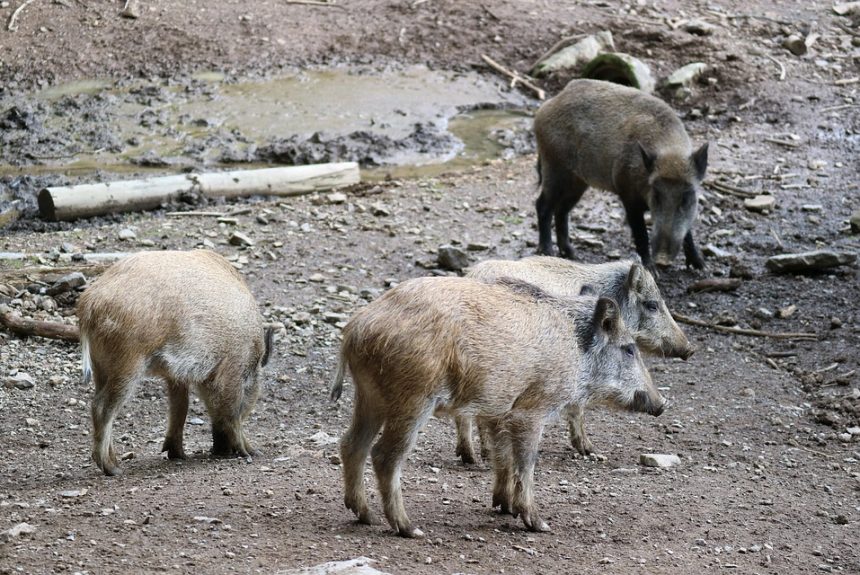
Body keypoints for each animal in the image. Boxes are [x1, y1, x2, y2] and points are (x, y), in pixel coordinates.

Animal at [77, 250, 273, 476]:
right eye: (251, 396)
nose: (220, 451)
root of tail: (89, 304)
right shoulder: (230, 367)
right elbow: (231, 411)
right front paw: (252, 452)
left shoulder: (176, 375)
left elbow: (180, 406)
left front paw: (177, 455)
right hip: (128, 362)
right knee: (101, 407)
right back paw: (113, 469)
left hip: (101, 367)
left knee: (99, 402)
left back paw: (116, 462)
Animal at [330, 276, 663, 537]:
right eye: (629, 349)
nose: (661, 404)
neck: (574, 348)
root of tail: (356, 329)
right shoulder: (531, 409)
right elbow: (526, 462)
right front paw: (539, 524)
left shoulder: (499, 410)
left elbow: (502, 456)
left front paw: (505, 508)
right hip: (412, 398)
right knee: (383, 455)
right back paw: (409, 529)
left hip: (370, 396)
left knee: (351, 444)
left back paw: (366, 516)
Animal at [533, 78, 709, 271]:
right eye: (656, 195)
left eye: (686, 198)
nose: (662, 260)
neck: (670, 155)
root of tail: (547, 106)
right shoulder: (627, 194)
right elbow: (640, 233)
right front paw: (651, 270)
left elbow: (688, 232)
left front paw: (701, 266)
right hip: (554, 167)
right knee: (543, 205)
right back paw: (547, 252)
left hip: (577, 181)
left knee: (562, 210)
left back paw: (572, 255)